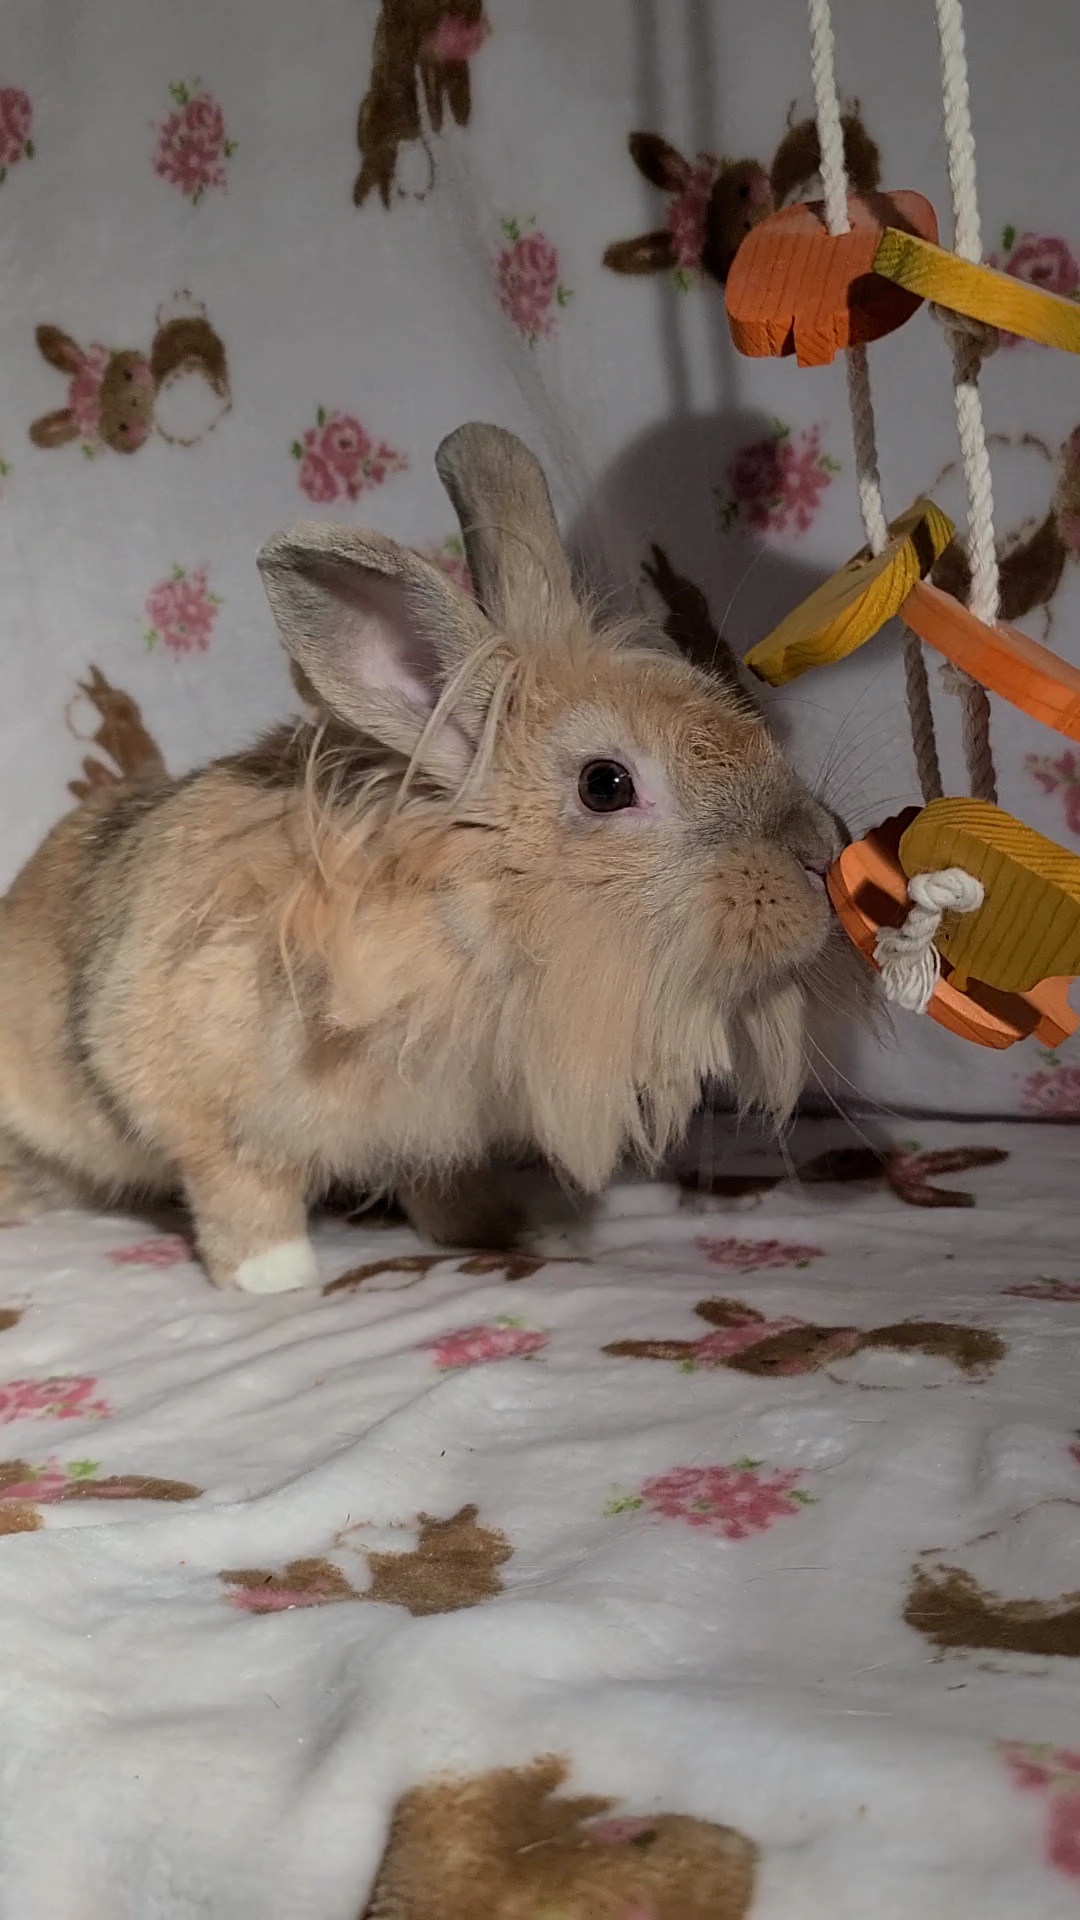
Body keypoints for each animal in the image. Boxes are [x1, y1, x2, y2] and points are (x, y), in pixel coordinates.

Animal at [0, 423, 863, 1293]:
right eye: (606, 784)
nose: (820, 853)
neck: (464, 921)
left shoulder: (434, 1130)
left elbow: (443, 1186)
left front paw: (506, 1230)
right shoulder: (209, 1114)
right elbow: (241, 1193)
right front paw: (277, 1277)